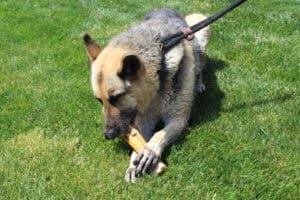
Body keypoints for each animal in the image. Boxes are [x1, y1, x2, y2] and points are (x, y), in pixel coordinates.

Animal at [83, 8, 210, 183]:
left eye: (116, 97)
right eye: (99, 100)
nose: (108, 135)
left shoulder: (179, 119)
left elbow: (160, 134)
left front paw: (151, 150)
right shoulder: (144, 121)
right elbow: (141, 140)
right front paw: (133, 163)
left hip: (201, 29)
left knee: (200, 67)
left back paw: (199, 84)